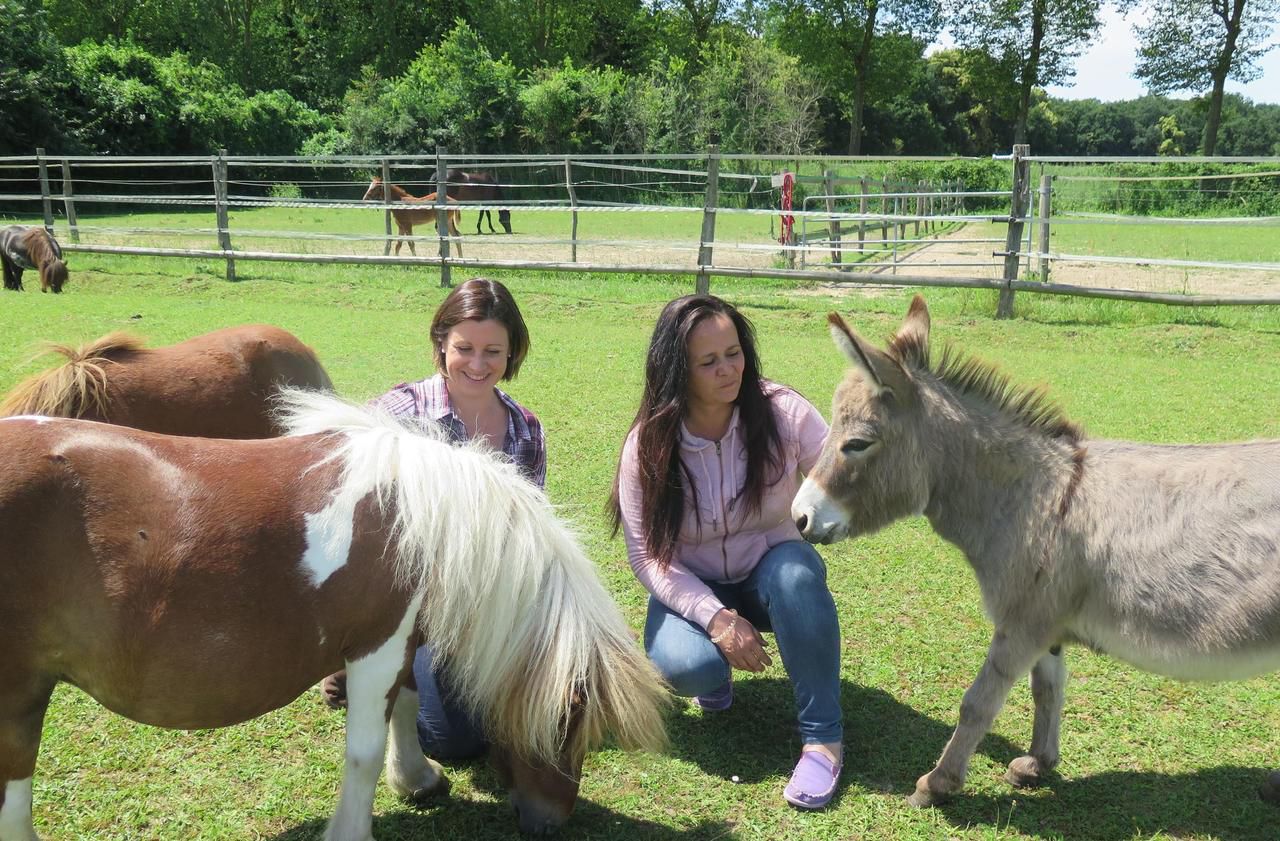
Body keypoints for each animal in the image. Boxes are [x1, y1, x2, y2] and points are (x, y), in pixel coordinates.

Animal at [0, 391, 675, 839]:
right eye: (569, 723)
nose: (551, 820)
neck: (424, 521)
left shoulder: (397, 641)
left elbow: (404, 705)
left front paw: (418, 778)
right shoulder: (375, 647)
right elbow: (364, 751)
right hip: (18, 694)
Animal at [788, 295, 1280, 808]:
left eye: (857, 443)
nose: (798, 516)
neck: (1035, 497)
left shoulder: (1023, 622)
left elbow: (979, 701)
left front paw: (937, 784)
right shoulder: (1048, 624)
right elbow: (1048, 689)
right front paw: (1038, 763)